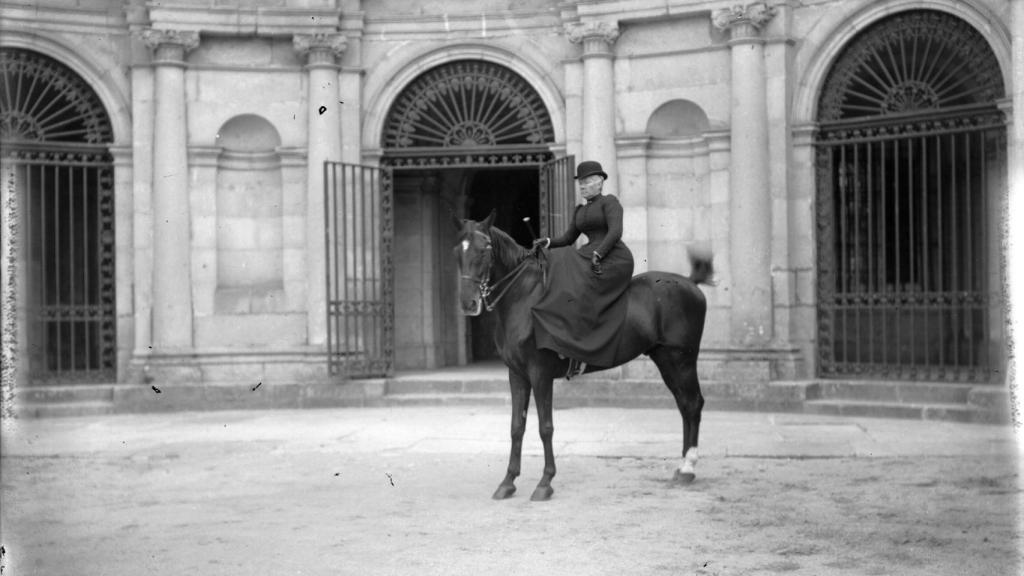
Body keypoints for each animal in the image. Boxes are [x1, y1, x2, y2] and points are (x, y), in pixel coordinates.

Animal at [456, 210, 712, 498]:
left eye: (484, 250)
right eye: (457, 251)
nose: (468, 303)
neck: (524, 299)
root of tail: (689, 283)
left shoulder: (540, 374)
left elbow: (545, 427)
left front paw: (545, 482)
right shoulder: (517, 375)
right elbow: (516, 427)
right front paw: (508, 481)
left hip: (682, 360)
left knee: (693, 404)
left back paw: (689, 467)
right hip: (666, 360)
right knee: (684, 405)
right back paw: (682, 467)